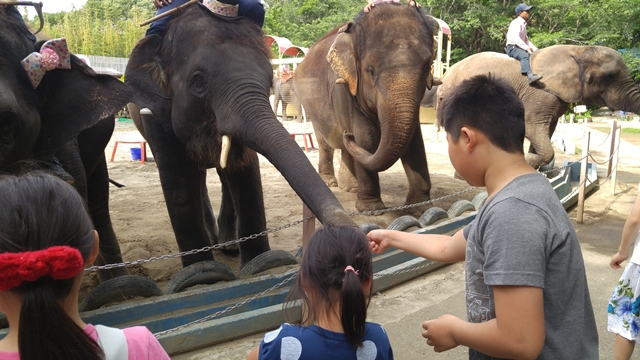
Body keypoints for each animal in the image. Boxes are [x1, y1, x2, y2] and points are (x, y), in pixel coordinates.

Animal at [125, 3, 356, 290]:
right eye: (198, 81)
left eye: (270, 79)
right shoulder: (155, 113)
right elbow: (177, 181)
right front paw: (199, 275)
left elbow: (245, 170)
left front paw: (262, 263)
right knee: (196, 177)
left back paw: (228, 246)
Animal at [296, 4, 440, 212]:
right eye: (371, 71)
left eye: (428, 66)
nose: (347, 134)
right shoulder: (347, 89)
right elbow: (366, 138)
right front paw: (372, 210)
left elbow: (415, 142)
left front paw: (420, 208)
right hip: (310, 106)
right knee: (325, 143)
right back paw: (331, 183)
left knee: (345, 147)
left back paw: (350, 188)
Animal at [438, 45, 640, 169]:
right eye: (609, 77)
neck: (578, 50)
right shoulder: (540, 92)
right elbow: (532, 127)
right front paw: (526, 161)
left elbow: (547, 129)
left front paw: (531, 167)